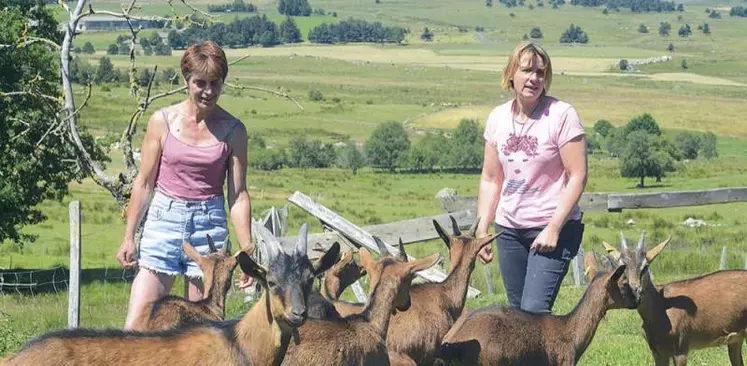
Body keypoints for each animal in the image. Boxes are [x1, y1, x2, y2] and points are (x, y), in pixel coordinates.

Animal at [600, 232, 747, 366]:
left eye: (645, 267)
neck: (660, 307)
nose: (635, 291)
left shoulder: (680, 351)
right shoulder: (658, 352)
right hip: (735, 340)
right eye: (621, 268)